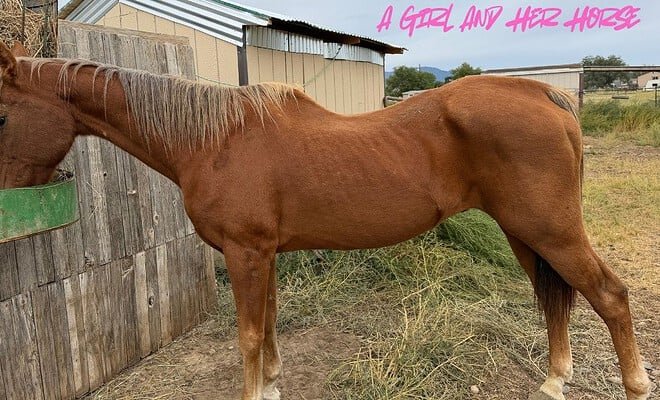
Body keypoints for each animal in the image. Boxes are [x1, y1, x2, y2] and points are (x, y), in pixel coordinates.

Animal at [0, 41, 652, 400]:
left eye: (3, 115)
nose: (6, 194)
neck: (214, 140)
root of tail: (545, 96)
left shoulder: (245, 253)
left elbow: (248, 335)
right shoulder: (262, 254)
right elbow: (268, 326)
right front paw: (271, 385)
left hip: (553, 231)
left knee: (610, 295)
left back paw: (635, 384)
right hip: (527, 235)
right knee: (557, 298)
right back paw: (553, 380)